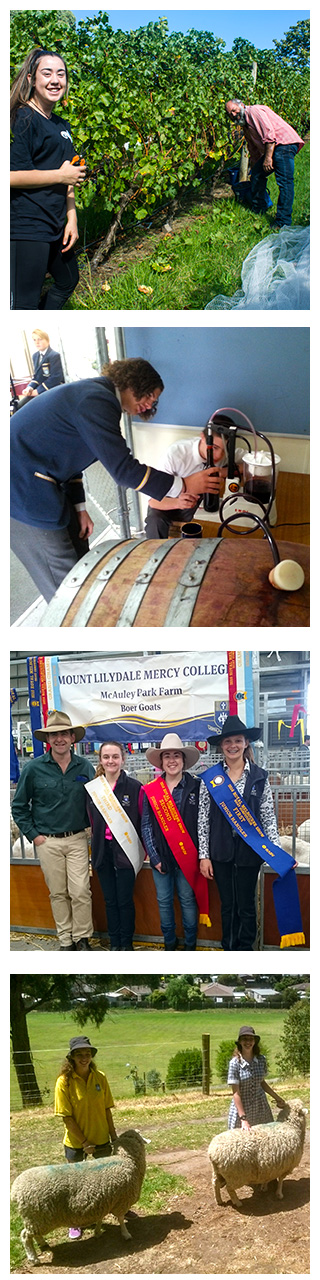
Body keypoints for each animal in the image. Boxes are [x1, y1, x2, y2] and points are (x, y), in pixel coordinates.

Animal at [10, 1131, 146, 1259]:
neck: (127, 1159)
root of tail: (15, 1190)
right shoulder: (122, 1201)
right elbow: (121, 1219)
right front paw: (126, 1234)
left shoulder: (104, 1200)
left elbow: (100, 1218)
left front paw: (97, 1232)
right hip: (38, 1217)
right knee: (25, 1235)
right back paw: (33, 1257)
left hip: (36, 1219)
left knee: (33, 1234)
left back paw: (43, 1244)